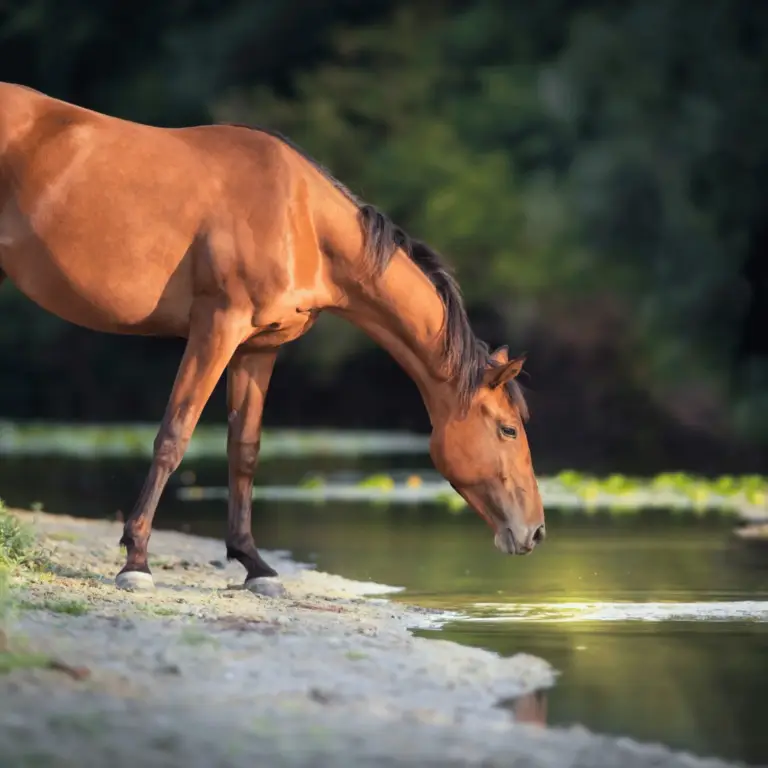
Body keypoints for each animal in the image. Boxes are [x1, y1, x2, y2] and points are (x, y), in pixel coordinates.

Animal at [0, 81, 544, 592]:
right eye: (508, 429)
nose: (536, 532)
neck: (301, 220)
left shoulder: (259, 346)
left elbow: (245, 449)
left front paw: (254, 565)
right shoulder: (217, 327)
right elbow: (174, 436)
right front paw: (136, 561)